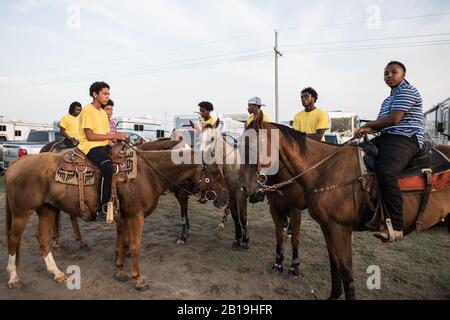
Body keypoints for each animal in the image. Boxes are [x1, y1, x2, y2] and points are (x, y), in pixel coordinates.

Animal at [3, 148, 229, 290]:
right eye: (215, 172)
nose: (225, 199)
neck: (148, 174)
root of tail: (16, 163)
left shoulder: (126, 217)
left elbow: (124, 242)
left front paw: (120, 270)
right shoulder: (136, 216)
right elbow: (135, 245)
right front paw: (138, 279)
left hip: (47, 209)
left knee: (42, 238)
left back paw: (56, 273)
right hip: (22, 212)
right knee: (13, 239)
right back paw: (14, 278)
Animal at [241, 113, 450, 300]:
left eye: (251, 145)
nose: (246, 188)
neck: (324, 171)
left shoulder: (332, 225)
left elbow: (345, 269)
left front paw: (294, 268)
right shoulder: (323, 225)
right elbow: (333, 263)